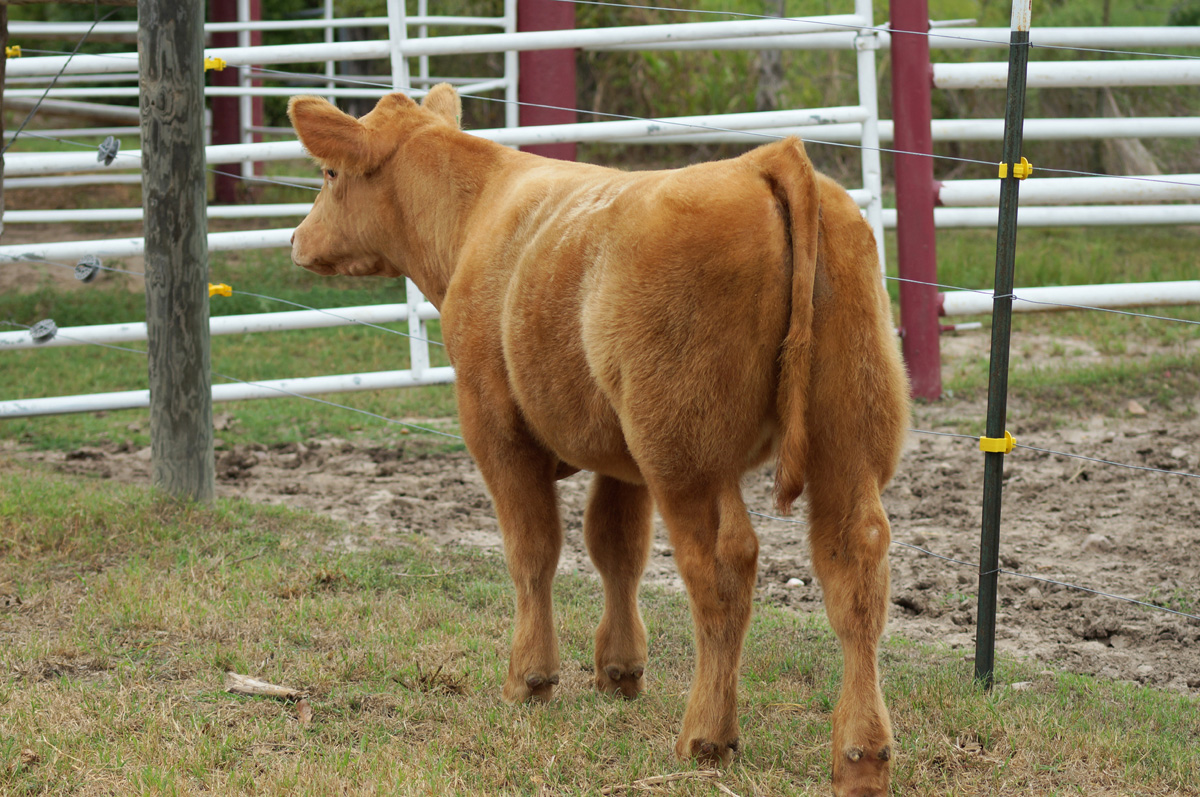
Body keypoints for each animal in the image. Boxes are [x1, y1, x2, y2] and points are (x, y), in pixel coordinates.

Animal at [288, 84, 909, 797]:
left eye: (328, 174)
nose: (297, 238)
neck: (477, 213)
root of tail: (766, 161)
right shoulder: (621, 457)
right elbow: (617, 547)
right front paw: (619, 671)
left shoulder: (495, 428)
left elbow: (533, 550)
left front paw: (531, 679)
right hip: (846, 436)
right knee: (854, 562)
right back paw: (861, 755)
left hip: (686, 452)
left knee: (723, 565)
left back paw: (707, 736)